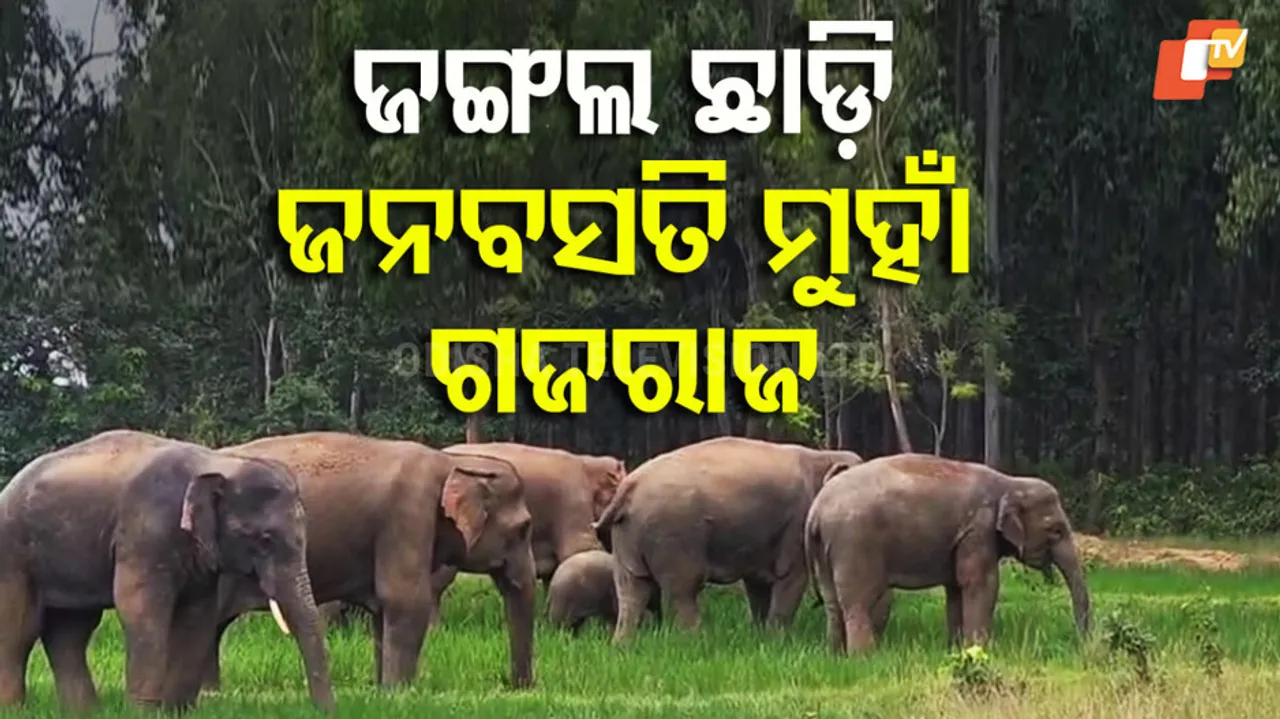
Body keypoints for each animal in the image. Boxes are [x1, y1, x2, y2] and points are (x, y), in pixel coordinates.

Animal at [0, 430, 333, 713]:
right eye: (265, 540)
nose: (323, 711)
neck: (216, 462)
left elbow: (197, 615)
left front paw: (177, 710)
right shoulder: (144, 533)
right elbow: (140, 607)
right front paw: (143, 712)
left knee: (71, 632)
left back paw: (84, 713)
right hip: (14, 553)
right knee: (20, 628)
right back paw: (14, 709)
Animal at [199, 431, 536, 693]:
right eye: (523, 528)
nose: (520, 687)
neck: (453, 464)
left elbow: (382, 611)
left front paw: (383, 691)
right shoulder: (408, 515)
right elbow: (406, 601)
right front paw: (400, 693)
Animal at [594, 436, 864, 643]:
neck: (822, 456)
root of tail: (629, 487)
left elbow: (758, 586)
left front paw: (761, 638)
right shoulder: (796, 525)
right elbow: (791, 578)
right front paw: (779, 641)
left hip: (628, 535)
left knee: (631, 590)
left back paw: (622, 646)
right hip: (672, 535)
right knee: (683, 589)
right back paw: (696, 641)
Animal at [804, 453, 1091, 654]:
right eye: (1056, 531)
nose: (1081, 643)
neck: (1011, 481)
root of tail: (816, 511)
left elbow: (956, 588)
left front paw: (956, 648)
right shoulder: (979, 529)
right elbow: (981, 584)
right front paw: (982, 649)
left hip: (825, 549)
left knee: (832, 601)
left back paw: (835, 655)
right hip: (854, 542)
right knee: (858, 602)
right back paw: (864, 658)